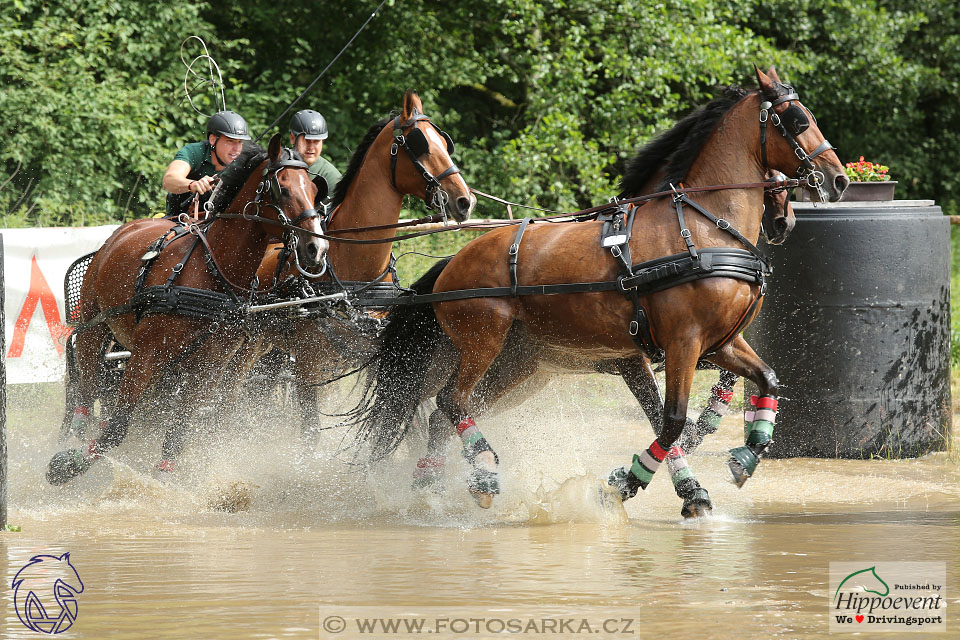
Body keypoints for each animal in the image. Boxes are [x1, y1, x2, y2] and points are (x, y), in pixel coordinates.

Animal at [47, 136, 328, 484]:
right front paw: (68, 465)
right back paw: (75, 432)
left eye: (315, 191)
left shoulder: (208, 367)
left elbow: (177, 431)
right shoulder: (147, 354)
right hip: (94, 324)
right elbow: (117, 426)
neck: (214, 271)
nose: (317, 249)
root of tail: (125, 230)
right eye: (283, 188)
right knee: (86, 389)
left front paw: (164, 478)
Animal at [235, 89, 472, 440]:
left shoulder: (365, 359)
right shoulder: (308, 369)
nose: (465, 200)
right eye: (421, 145)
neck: (354, 276)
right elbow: (310, 433)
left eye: (445, 143)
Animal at [348, 66, 844, 510]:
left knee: (441, 413)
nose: (836, 178)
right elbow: (672, 421)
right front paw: (628, 483)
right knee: (450, 400)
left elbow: (766, 380)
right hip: (483, 342)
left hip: (514, 364)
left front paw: (743, 457)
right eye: (797, 120)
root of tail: (453, 263)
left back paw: (433, 485)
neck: (701, 226)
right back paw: (483, 472)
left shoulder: (718, 343)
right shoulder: (681, 343)